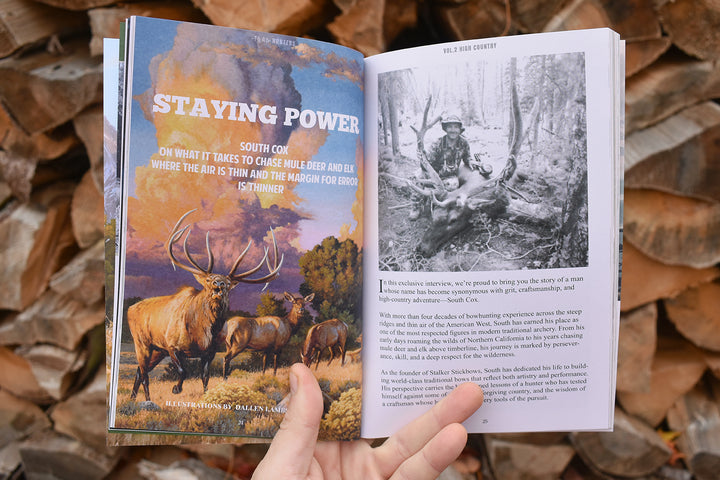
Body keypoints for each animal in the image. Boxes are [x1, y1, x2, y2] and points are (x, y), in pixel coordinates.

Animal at [127, 209, 283, 402]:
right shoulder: (172, 345)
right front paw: (176, 389)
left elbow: (205, 377)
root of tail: (129, 309)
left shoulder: (209, 352)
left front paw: (206, 396)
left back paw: (132, 399)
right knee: (144, 374)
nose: (218, 284)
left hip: (157, 350)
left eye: (228, 283)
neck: (203, 332)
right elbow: (183, 370)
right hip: (142, 342)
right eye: (208, 279)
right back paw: (147, 400)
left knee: (139, 371)